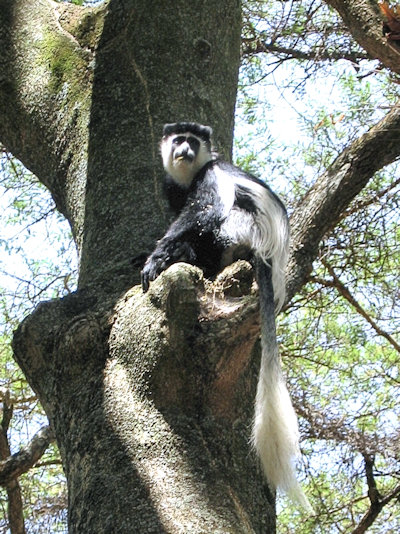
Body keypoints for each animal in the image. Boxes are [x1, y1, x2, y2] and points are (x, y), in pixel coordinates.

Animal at [141, 122, 312, 510]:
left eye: (193, 141)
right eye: (179, 140)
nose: (185, 149)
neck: (191, 173)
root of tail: (268, 256)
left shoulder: (211, 175)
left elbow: (202, 211)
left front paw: (157, 258)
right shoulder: (173, 187)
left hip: (240, 230)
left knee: (215, 220)